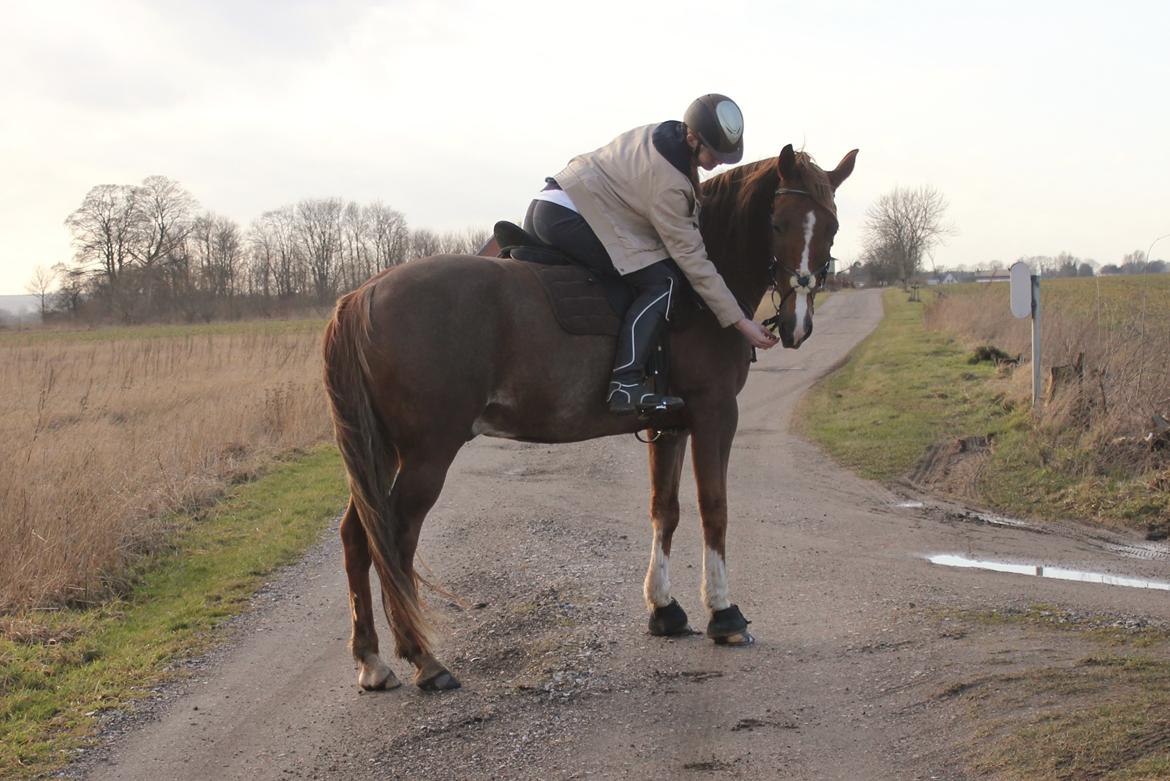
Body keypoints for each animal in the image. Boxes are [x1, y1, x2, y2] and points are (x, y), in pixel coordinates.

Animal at [325, 142, 856, 687]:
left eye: (833, 227)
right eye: (777, 223)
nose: (797, 323)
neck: (699, 292)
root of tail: (362, 295)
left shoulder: (668, 425)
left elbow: (665, 510)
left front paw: (665, 609)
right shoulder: (714, 414)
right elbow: (714, 509)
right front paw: (724, 615)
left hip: (385, 451)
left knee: (357, 536)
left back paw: (372, 659)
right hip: (427, 455)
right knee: (396, 539)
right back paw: (423, 660)